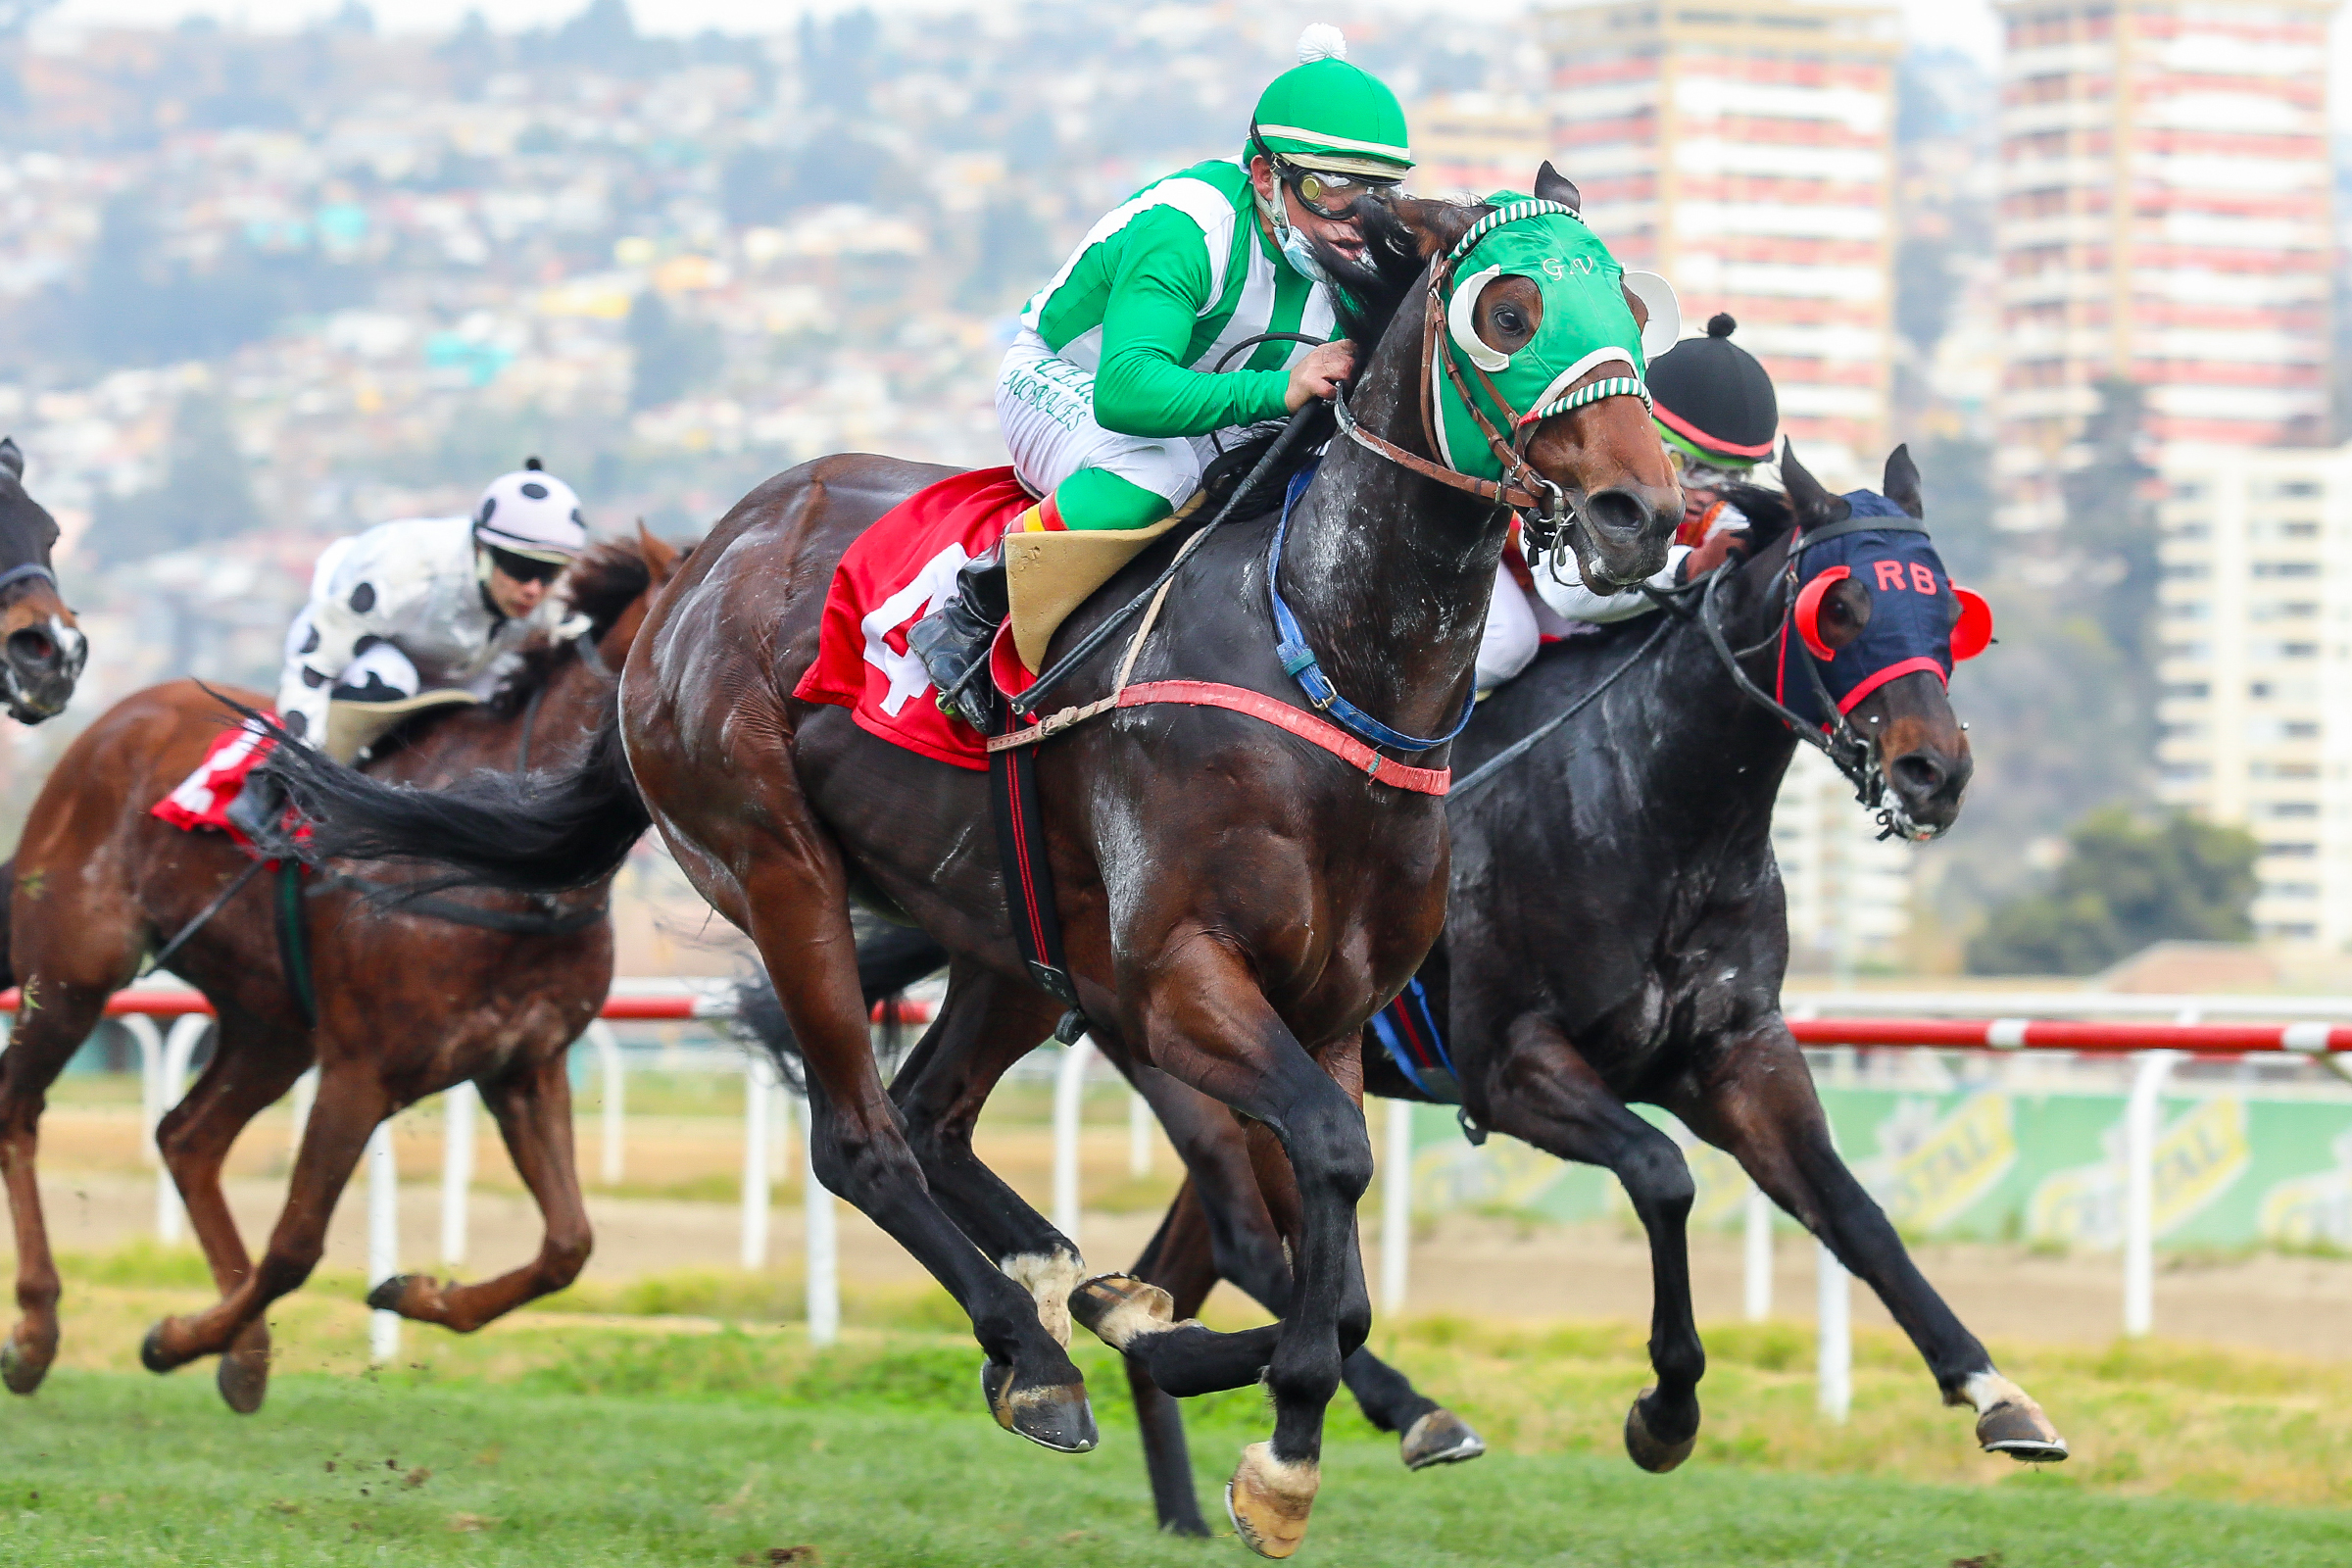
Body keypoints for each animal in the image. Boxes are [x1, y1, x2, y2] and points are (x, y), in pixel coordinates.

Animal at [0, 533, 679, 1411]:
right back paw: (36, 1329)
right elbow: (295, 1245)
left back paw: (246, 1350)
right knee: (20, 1111)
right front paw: (174, 1338)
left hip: (271, 1025)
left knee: (186, 1136)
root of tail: (112, 722)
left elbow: (569, 1244)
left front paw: (411, 1293)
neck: (513, 859)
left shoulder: (524, 1065)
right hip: (72, 975)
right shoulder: (361, 1068)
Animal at [257, 179, 1681, 1556]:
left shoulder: (1326, 1008)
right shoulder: (1181, 984)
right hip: (775, 862)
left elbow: (1335, 1267)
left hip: (1013, 942)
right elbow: (1327, 1176)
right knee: (863, 1140)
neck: (1320, 658)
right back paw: (1034, 1354)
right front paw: (1275, 1449)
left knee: (936, 1116)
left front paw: (1210, 1365)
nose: (1642, 514)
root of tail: (695, 572)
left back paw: (1077, 1306)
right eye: (1507, 310)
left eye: (1630, 305)